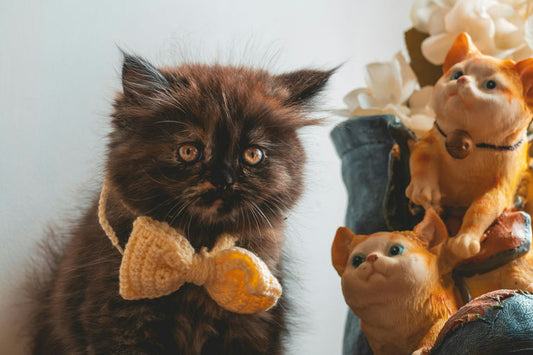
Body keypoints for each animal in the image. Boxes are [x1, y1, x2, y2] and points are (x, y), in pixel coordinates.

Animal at [30, 53, 332, 355]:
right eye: (189, 151)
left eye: (252, 155)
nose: (223, 180)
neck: (199, 248)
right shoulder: (117, 321)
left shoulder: (252, 325)